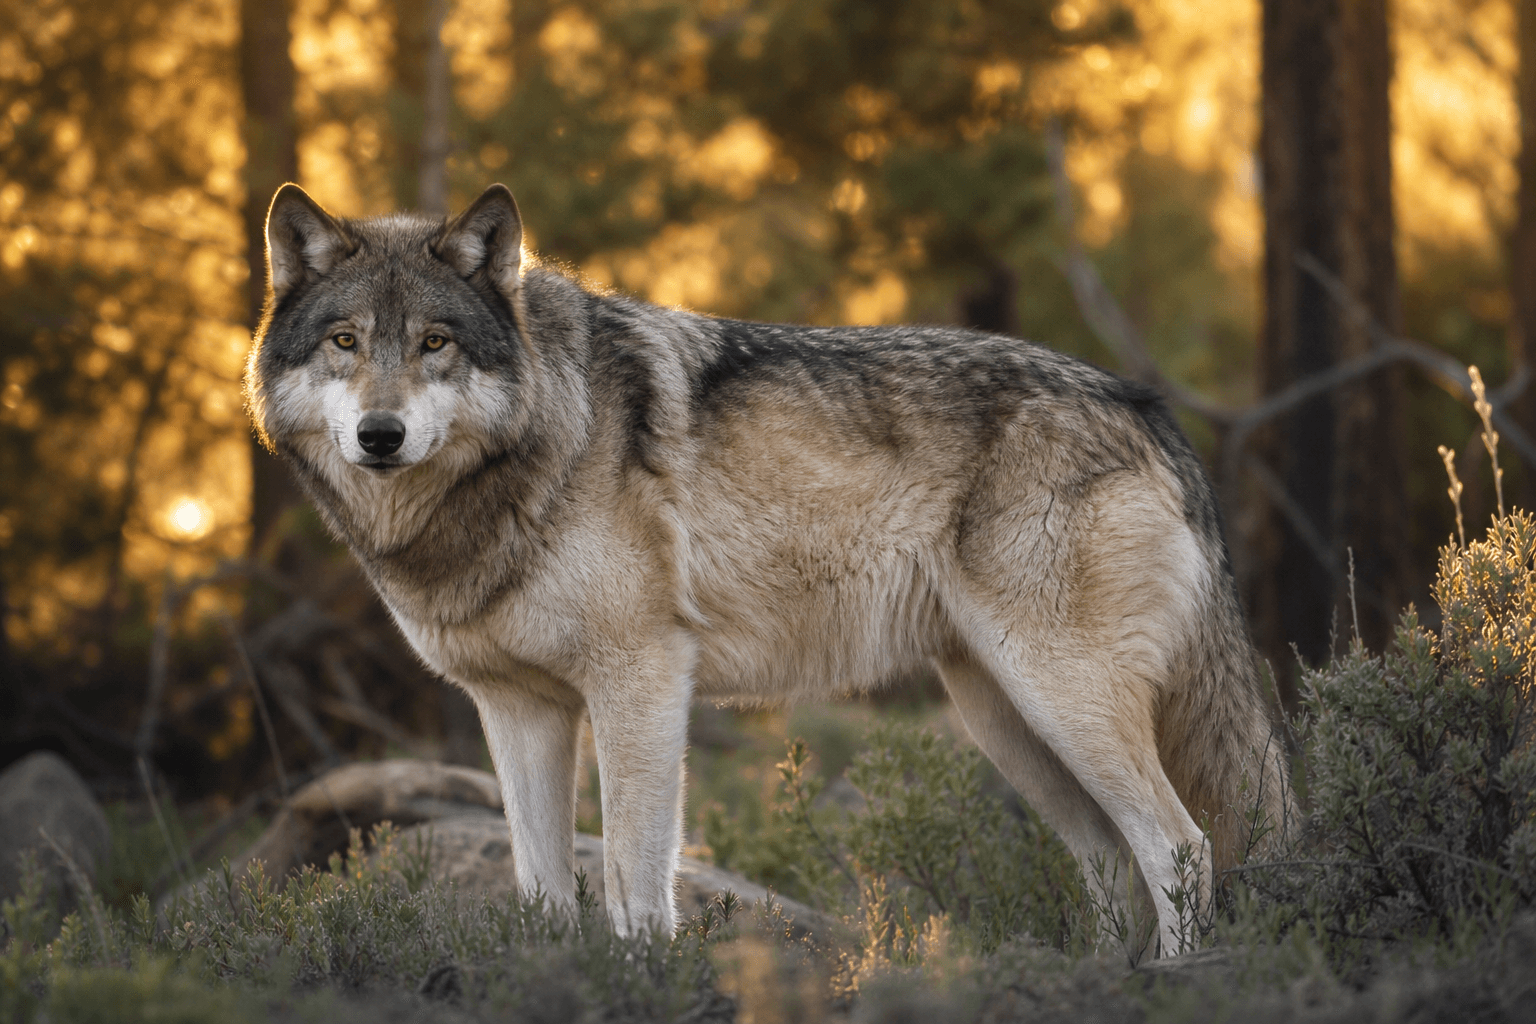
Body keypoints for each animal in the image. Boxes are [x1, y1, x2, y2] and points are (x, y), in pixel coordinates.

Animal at [246, 182, 1290, 954]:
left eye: (435, 342)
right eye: (345, 341)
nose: (380, 436)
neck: (539, 445)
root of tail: (1143, 403)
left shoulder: (642, 682)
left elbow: (634, 884)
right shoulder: (517, 710)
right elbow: (541, 894)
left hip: (1061, 701)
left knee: (1181, 849)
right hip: (1008, 722)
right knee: (1116, 868)